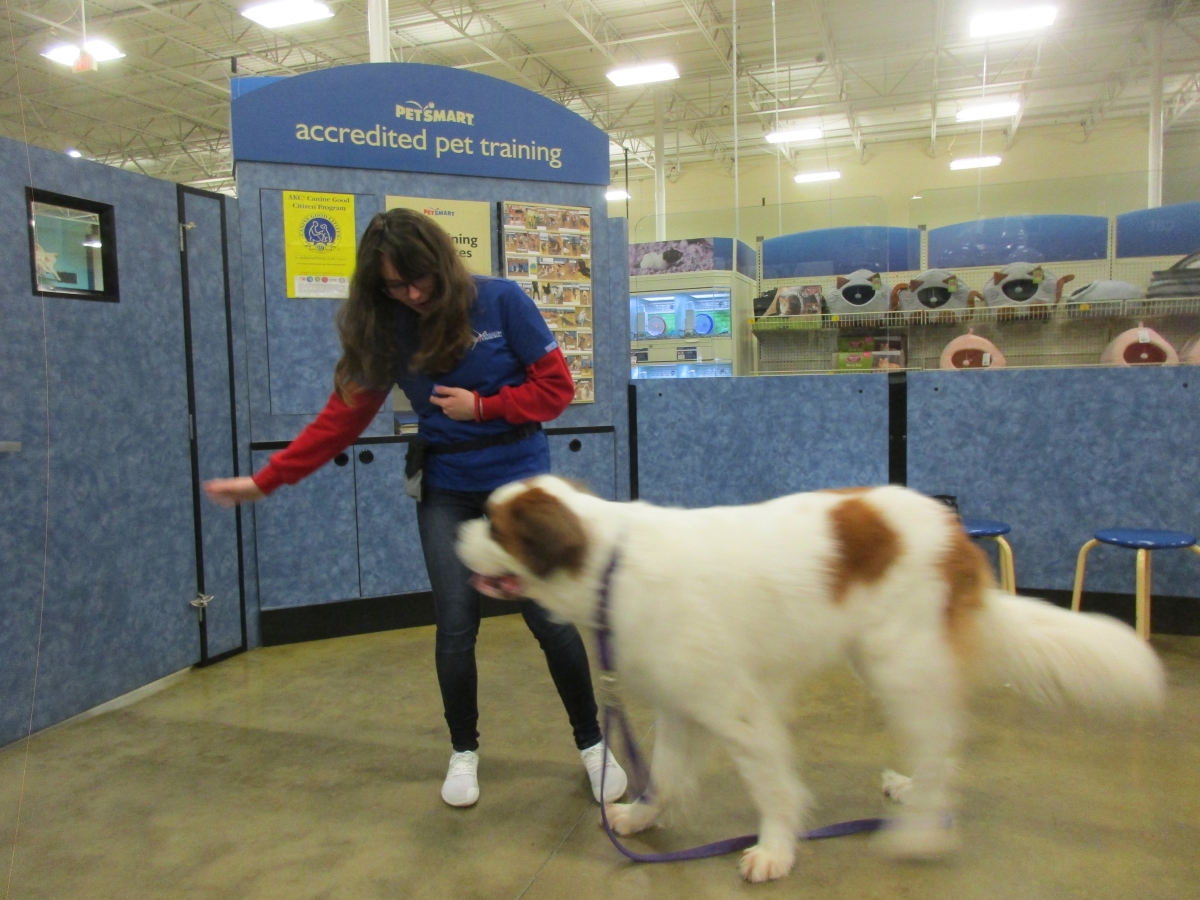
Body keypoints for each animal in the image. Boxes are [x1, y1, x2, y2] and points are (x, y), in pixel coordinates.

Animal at [457, 477, 1165, 883]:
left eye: (494, 525)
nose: (459, 534)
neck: (610, 561)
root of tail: (955, 534)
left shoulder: (738, 708)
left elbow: (772, 787)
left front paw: (775, 851)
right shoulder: (684, 704)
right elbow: (666, 772)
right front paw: (644, 816)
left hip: (898, 664)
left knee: (941, 744)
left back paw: (919, 836)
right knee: (938, 747)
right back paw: (915, 794)